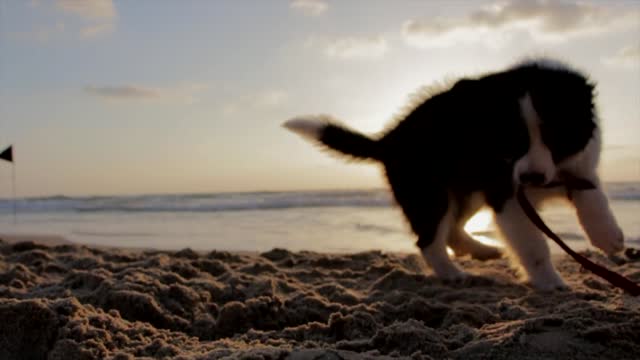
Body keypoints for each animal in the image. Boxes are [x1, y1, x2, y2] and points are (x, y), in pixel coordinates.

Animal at [284, 57, 624, 292]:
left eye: (556, 136)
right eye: (511, 140)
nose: (532, 179)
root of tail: (390, 140)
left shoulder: (578, 165)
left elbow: (593, 195)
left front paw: (608, 236)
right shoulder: (506, 192)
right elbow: (533, 242)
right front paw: (549, 280)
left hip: (465, 188)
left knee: (452, 229)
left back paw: (480, 249)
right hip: (429, 192)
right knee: (429, 238)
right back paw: (452, 274)